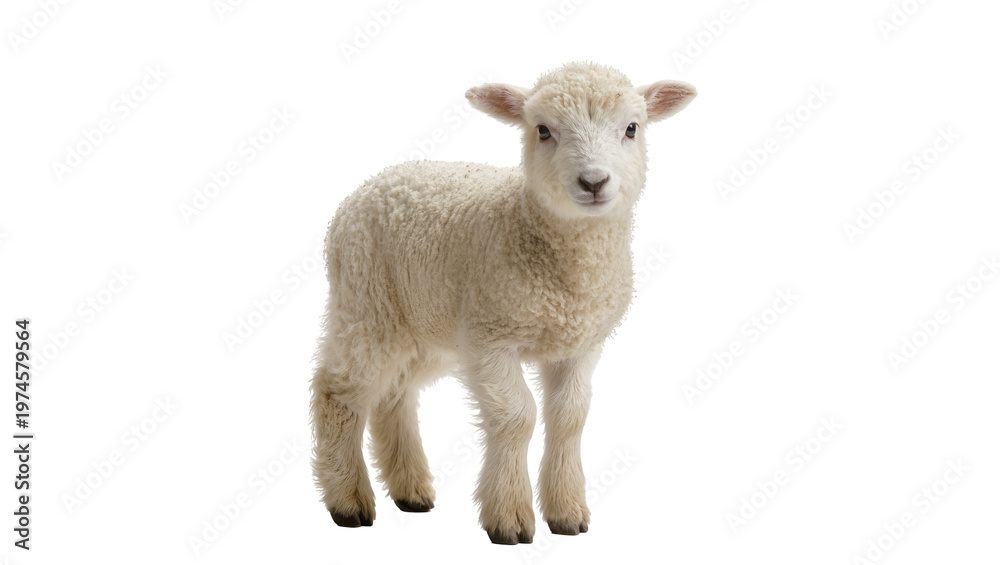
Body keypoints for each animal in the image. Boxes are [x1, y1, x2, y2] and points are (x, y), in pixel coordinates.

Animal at [311, 61, 696, 544]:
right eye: (543, 130)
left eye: (631, 128)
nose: (593, 182)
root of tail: (369, 185)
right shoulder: (490, 339)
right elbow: (518, 417)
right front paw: (509, 517)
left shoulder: (580, 345)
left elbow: (570, 417)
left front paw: (567, 513)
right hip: (366, 306)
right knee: (338, 391)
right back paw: (347, 501)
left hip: (425, 327)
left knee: (394, 395)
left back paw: (411, 491)